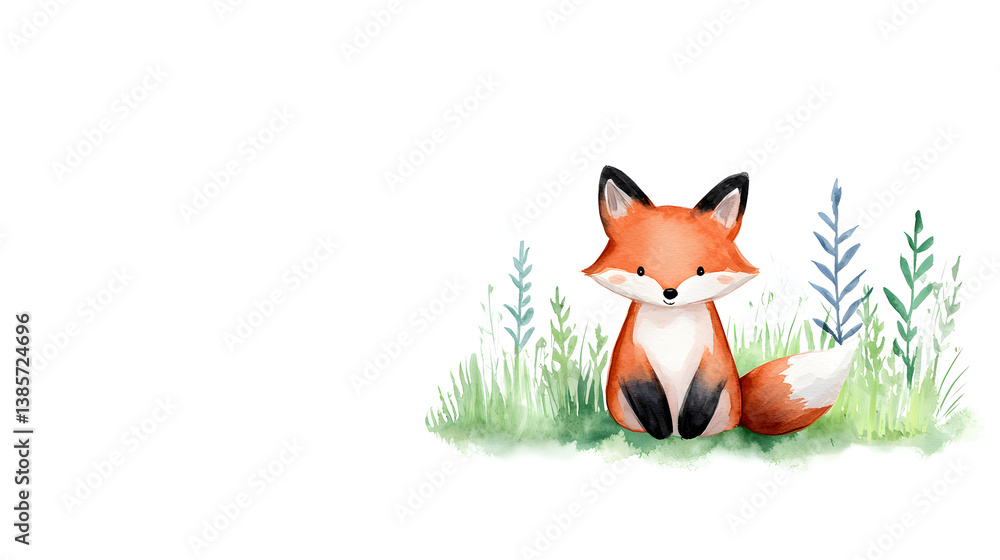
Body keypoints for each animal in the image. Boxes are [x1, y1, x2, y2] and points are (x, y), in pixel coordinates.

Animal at [584, 166, 857, 439]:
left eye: (700, 270)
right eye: (641, 271)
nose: (670, 293)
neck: (672, 330)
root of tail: (741, 416)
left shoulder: (714, 358)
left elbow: (703, 393)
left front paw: (689, 430)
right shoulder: (632, 358)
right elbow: (645, 394)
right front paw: (661, 431)